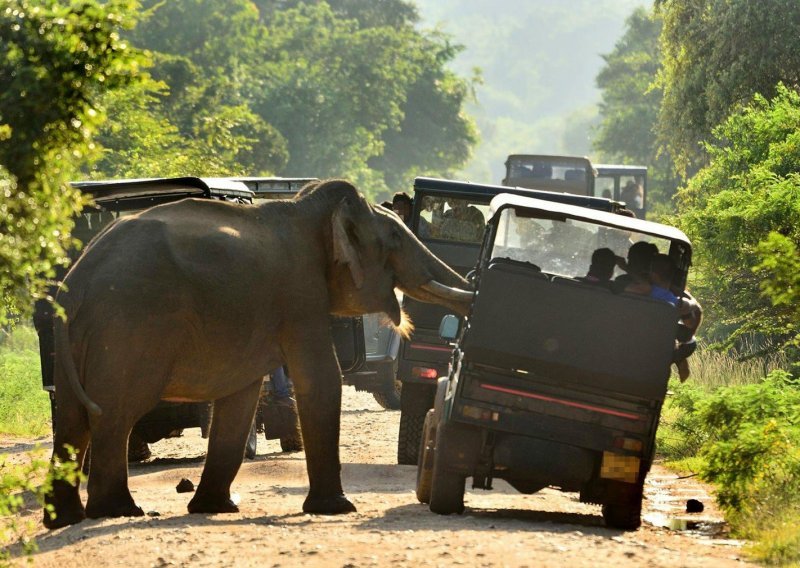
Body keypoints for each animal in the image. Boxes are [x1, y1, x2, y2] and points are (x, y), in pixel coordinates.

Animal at [43, 179, 472, 528]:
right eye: (396, 238)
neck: (307, 210)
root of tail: (78, 279)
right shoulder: (300, 293)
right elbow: (320, 378)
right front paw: (338, 508)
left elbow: (240, 397)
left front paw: (217, 508)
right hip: (129, 326)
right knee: (115, 414)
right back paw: (118, 512)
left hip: (82, 337)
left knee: (72, 419)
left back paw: (65, 518)